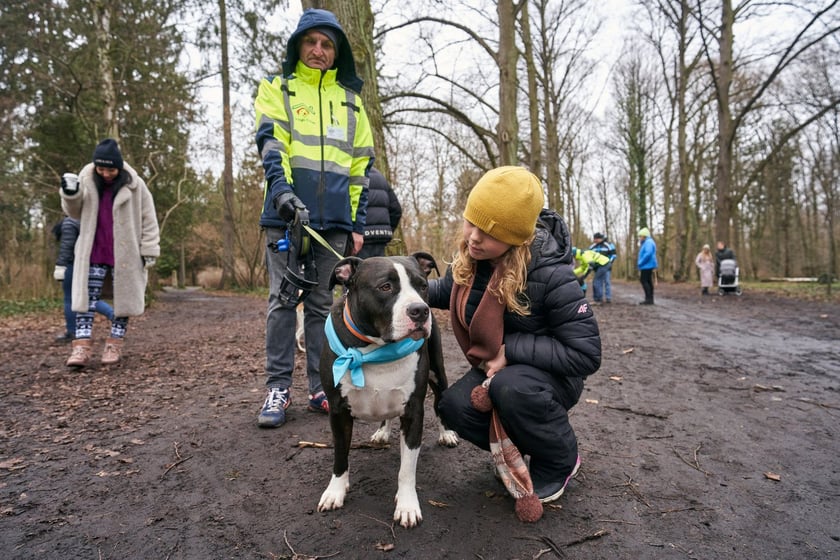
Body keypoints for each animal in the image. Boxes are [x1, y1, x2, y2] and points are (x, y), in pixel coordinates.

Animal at [316, 254, 460, 528]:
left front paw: (407, 505)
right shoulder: (338, 411)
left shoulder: (413, 411)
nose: (420, 310)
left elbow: (407, 469)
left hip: (438, 374)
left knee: (439, 402)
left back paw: (447, 433)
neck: (374, 349)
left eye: (422, 285)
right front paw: (335, 491)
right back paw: (382, 431)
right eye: (385, 287)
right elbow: (340, 455)